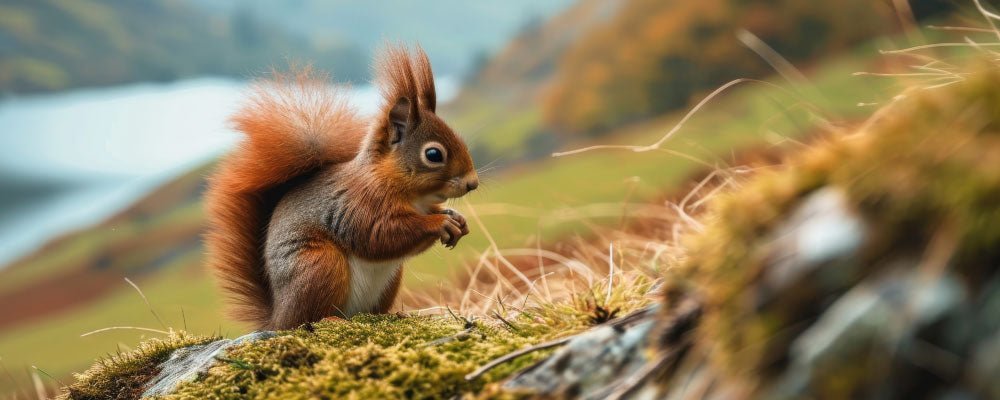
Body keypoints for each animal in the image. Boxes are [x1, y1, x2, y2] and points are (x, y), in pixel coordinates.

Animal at [205, 45, 479, 330]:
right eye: (434, 154)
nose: (473, 183)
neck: (411, 195)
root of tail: (277, 317)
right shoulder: (359, 204)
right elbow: (379, 234)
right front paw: (439, 223)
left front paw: (457, 219)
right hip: (319, 265)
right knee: (307, 319)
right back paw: (332, 319)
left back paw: (393, 315)